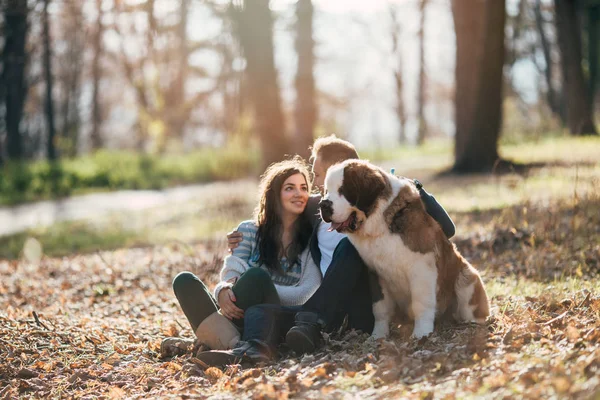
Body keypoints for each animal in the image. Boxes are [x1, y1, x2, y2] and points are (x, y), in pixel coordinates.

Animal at [318, 159, 488, 338]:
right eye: (326, 191)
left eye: (343, 190)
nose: (323, 204)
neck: (380, 220)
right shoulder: (375, 273)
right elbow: (380, 308)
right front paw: (378, 335)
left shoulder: (422, 267)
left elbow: (421, 303)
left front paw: (421, 333)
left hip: (468, 276)